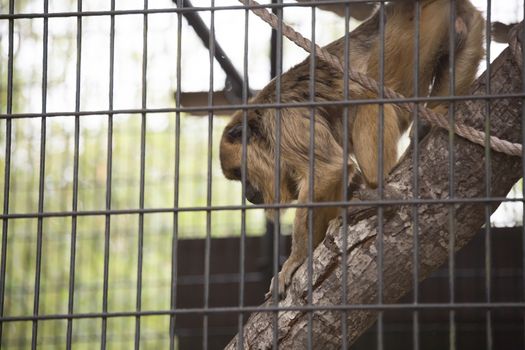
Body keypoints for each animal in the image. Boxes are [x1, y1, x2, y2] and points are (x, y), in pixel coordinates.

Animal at [219, 0, 482, 298]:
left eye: (240, 175)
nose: (247, 194)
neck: (261, 121)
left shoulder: (285, 122)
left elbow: (327, 169)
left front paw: (295, 260)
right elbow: (335, 176)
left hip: (409, 41)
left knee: (371, 100)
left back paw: (377, 187)